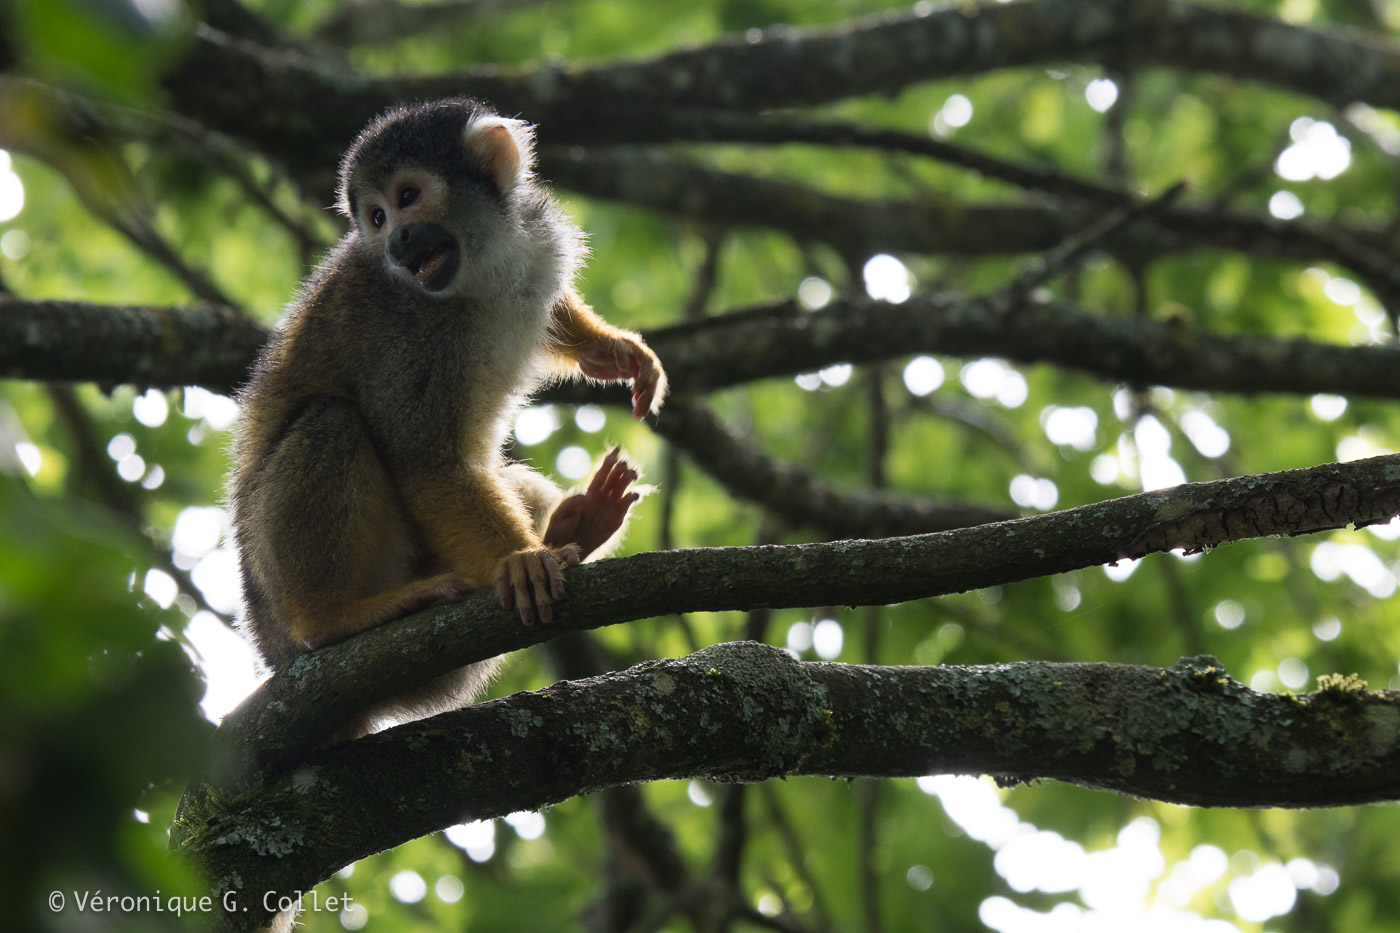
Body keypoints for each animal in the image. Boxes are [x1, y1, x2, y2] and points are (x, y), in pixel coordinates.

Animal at [230, 98, 667, 739]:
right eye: (377, 218)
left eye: (407, 197)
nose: (397, 241)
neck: (481, 267)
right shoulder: (408, 332)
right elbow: (425, 461)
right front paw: (522, 563)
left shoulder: (538, 241)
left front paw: (608, 349)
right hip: (282, 608)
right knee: (331, 422)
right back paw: (332, 618)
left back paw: (577, 527)